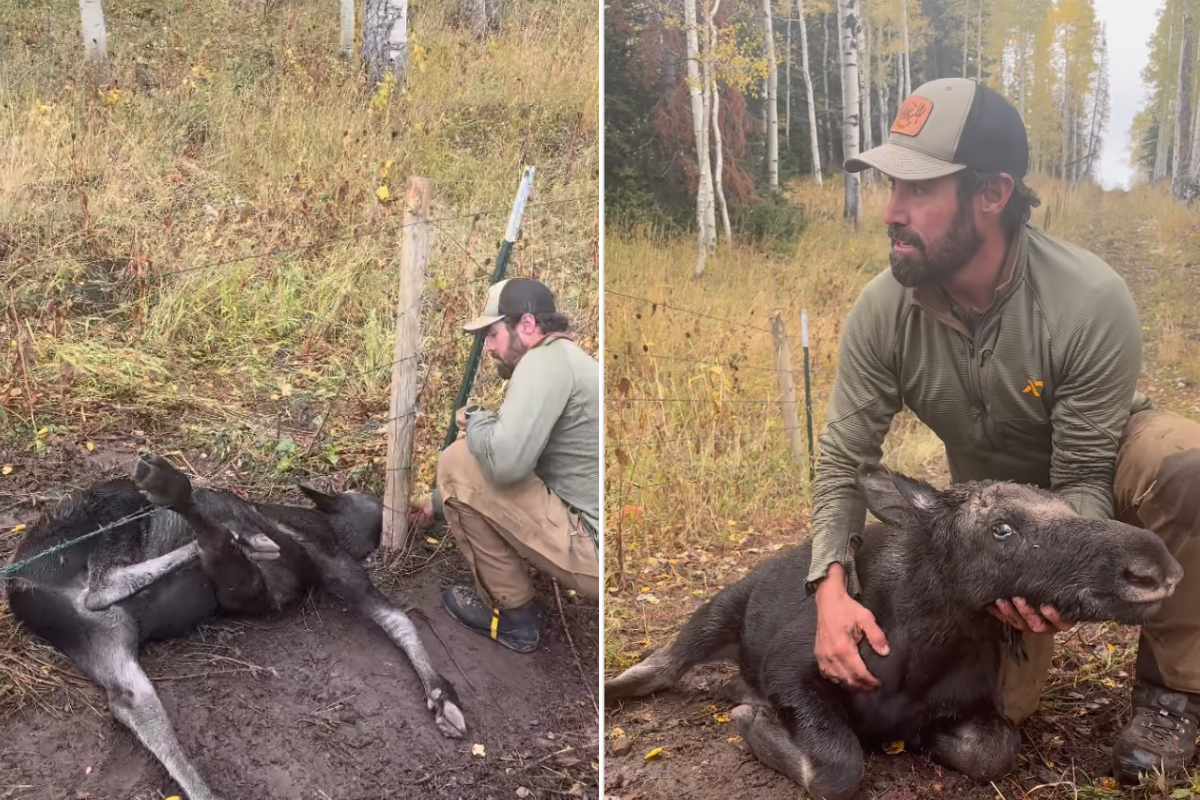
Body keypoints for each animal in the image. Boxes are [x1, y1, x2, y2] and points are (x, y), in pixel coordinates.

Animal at [3, 453, 463, 800]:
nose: (422, 510)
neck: (333, 535)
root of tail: (18, 589)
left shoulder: (276, 586)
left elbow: (398, 620)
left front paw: (443, 697)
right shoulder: (319, 562)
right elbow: (399, 617)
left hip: (102, 637)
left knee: (131, 698)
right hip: (112, 513)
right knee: (106, 580)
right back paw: (189, 499)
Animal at [609, 462, 1180, 800]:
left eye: (1067, 506)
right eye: (1001, 527)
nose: (1155, 568)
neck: (929, 642)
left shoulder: (975, 706)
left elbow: (994, 750)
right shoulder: (789, 667)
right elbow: (837, 767)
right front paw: (756, 723)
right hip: (719, 610)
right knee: (661, 663)